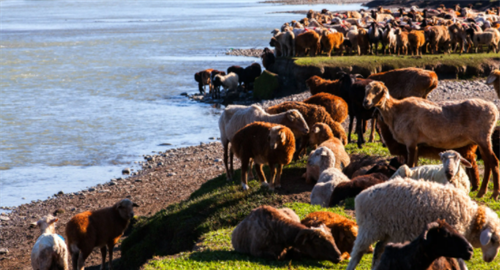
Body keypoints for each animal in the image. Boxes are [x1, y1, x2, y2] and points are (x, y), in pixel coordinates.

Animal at [346, 177, 500, 270]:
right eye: (492, 240)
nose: (490, 259)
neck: (471, 219)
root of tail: (360, 197)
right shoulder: (453, 238)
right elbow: (460, 260)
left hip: (389, 231)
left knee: (378, 248)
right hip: (368, 229)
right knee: (356, 254)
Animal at [364, 80, 500, 198]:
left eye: (378, 90)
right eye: (366, 90)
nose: (365, 102)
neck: (395, 112)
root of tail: (494, 109)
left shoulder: (411, 141)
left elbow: (410, 164)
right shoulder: (417, 144)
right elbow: (414, 165)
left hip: (483, 136)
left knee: (494, 161)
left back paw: (494, 194)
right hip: (481, 139)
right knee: (487, 162)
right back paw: (482, 192)